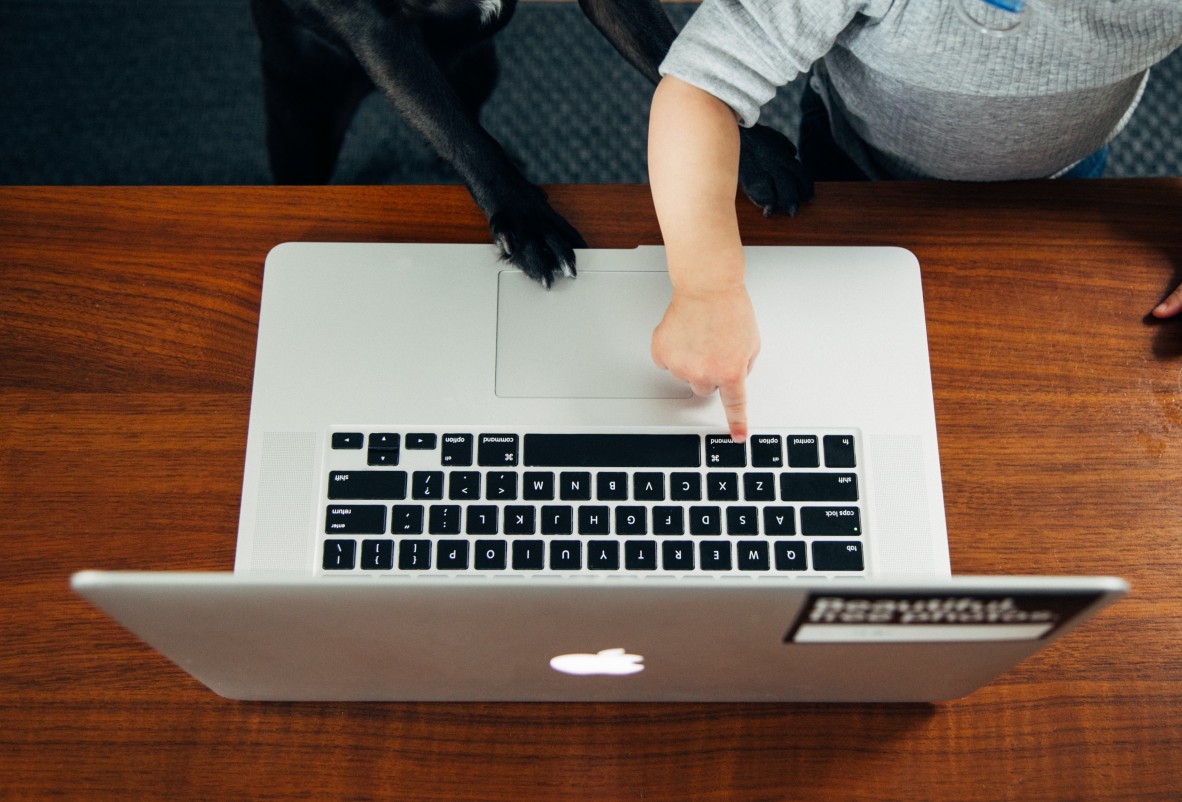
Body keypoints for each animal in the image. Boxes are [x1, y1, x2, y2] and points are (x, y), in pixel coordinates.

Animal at [251, 0, 813, 287]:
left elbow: (672, 55)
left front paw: (755, 155)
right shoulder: (377, 27)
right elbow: (460, 133)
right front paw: (526, 220)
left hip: (477, 67)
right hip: (304, 110)